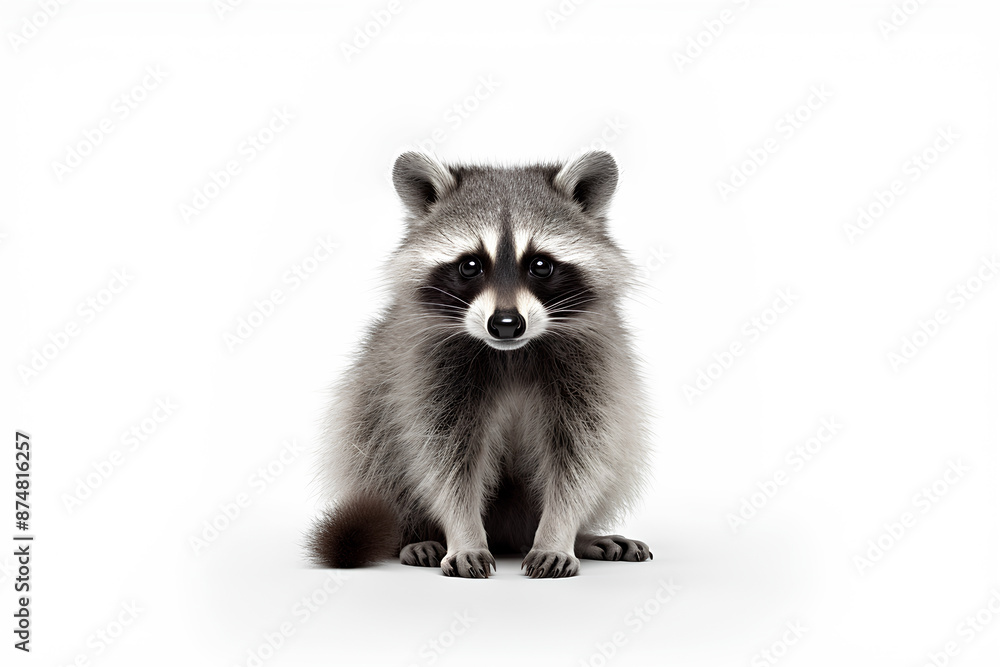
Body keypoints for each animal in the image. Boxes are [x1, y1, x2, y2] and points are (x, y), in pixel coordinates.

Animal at [307, 151, 652, 578]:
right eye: (470, 265)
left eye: (541, 265)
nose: (505, 323)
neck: (511, 351)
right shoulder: (428, 367)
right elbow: (444, 460)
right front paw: (463, 534)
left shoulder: (592, 363)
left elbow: (581, 457)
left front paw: (559, 533)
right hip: (368, 421)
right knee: (379, 459)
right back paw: (416, 535)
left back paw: (582, 536)